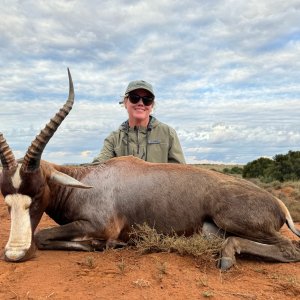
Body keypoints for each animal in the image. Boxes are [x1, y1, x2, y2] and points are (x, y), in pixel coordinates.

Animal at [0, 69, 300, 270]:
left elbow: (42, 235)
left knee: (289, 248)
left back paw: (226, 258)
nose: (14, 254)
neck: (89, 180)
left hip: (232, 219)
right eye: (6, 199)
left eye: (38, 193)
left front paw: (106, 245)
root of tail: (279, 204)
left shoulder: (99, 225)